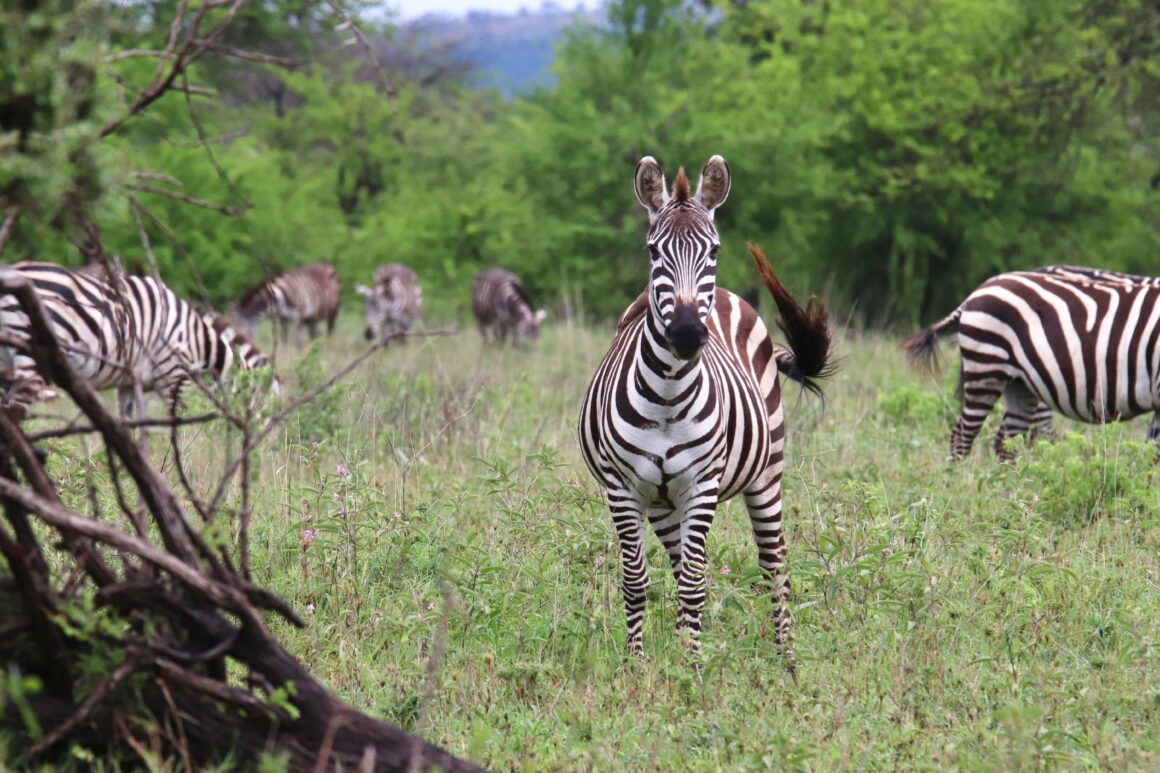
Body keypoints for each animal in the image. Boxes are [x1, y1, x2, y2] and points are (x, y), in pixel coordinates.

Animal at [0, 262, 240, 422]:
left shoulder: (129, 382)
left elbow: (129, 423)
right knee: (16, 411)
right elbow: (177, 424)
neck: (197, 338)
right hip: (30, 353)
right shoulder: (172, 373)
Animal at [578, 156, 833, 669]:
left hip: (767, 473)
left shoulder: (702, 484)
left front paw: (692, 669)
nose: (687, 334)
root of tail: (734, 296)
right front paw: (636, 666)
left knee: (774, 564)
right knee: (679, 568)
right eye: (653, 251)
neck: (666, 397)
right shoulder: (621, 488)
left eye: (713, 250)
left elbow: (695, 584)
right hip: (662, 504)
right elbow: (637, 581)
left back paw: (786, 661)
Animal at [904, 265, 1160, 460]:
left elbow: (1152, 455)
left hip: (1021, 383)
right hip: (987, 369)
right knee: (964, 436)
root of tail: (975, 293)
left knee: (1007, 442)